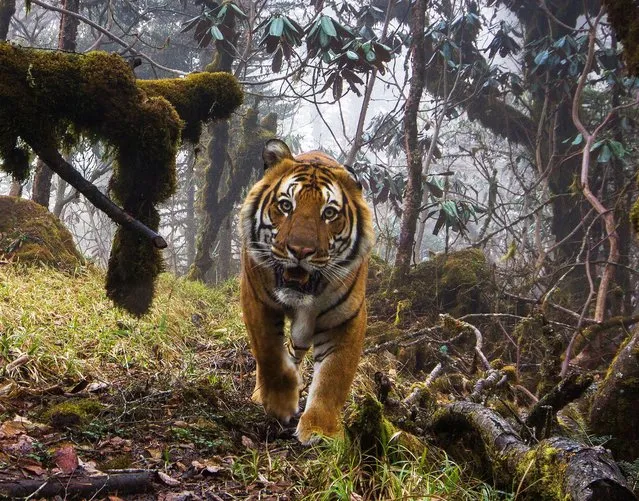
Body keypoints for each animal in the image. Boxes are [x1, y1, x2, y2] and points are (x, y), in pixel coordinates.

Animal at [238, 139, 372, 444]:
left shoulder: (346, 318)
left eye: (329, 213)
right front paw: (280, 403)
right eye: (286, 205)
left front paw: (321, 430)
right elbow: (269, 353)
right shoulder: (256, 298)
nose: (300, 250)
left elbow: (334, 375)